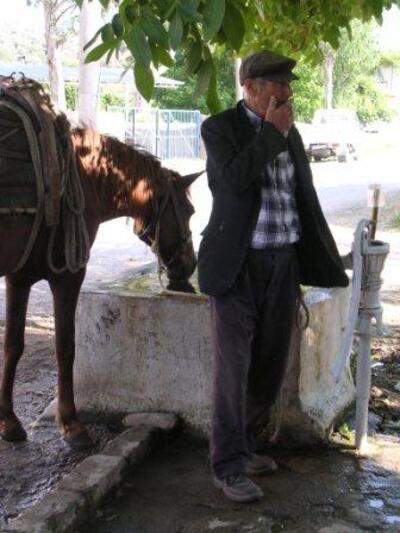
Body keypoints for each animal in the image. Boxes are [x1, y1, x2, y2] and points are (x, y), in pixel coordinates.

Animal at [0, 125, 200, 448]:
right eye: (189, 210)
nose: (190, 264)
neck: (83, 176)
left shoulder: (19, 278)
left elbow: (13, 346)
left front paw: (8, 421)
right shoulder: (67, 277)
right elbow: (65, 347)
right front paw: (71, 425)